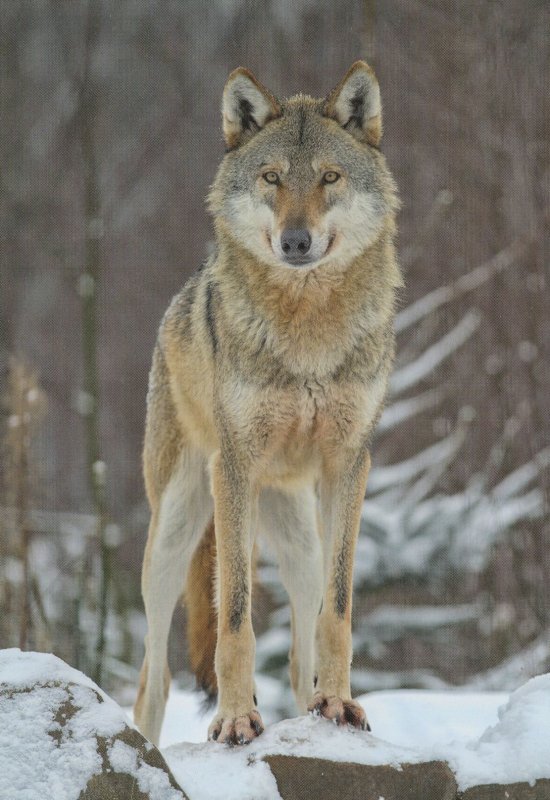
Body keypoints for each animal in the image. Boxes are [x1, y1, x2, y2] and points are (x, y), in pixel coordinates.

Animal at [134, 59, 402, 748]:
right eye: (273, 178)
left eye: (329, 177)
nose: (296, 241)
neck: (306, 334)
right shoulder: (234, 466)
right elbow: (235, 617)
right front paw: (234, 719)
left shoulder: (349, 464)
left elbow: (339, 610)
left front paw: (341, 705)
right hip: (173, 536)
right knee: (154, 680)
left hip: (300, 540)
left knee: (304, 644)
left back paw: (316, 704)